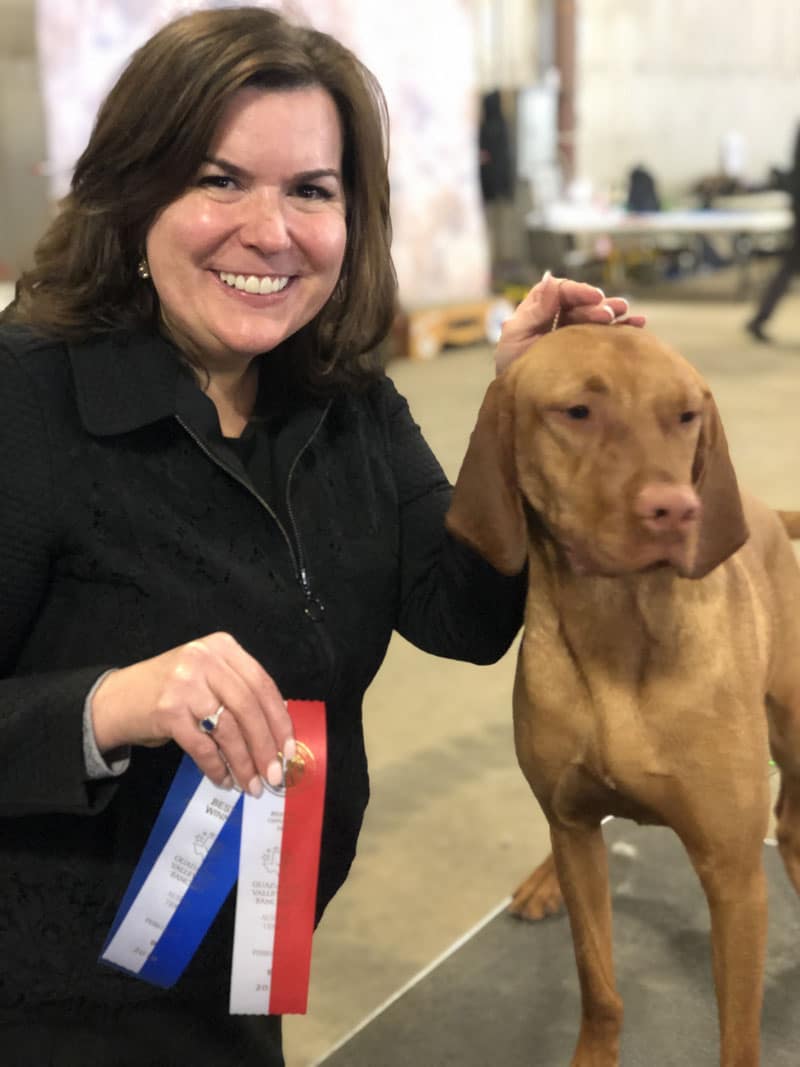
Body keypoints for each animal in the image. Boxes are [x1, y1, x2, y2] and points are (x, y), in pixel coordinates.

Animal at [445, 324, 800, 1067]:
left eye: (686, 415)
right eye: (578, 411)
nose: (678, 510)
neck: (619, 627)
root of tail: (763, 510)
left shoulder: (734, 876)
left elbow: (739, 1034)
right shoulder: (576, 828)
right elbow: (598, 983)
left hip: (793, 725)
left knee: (791, 819)